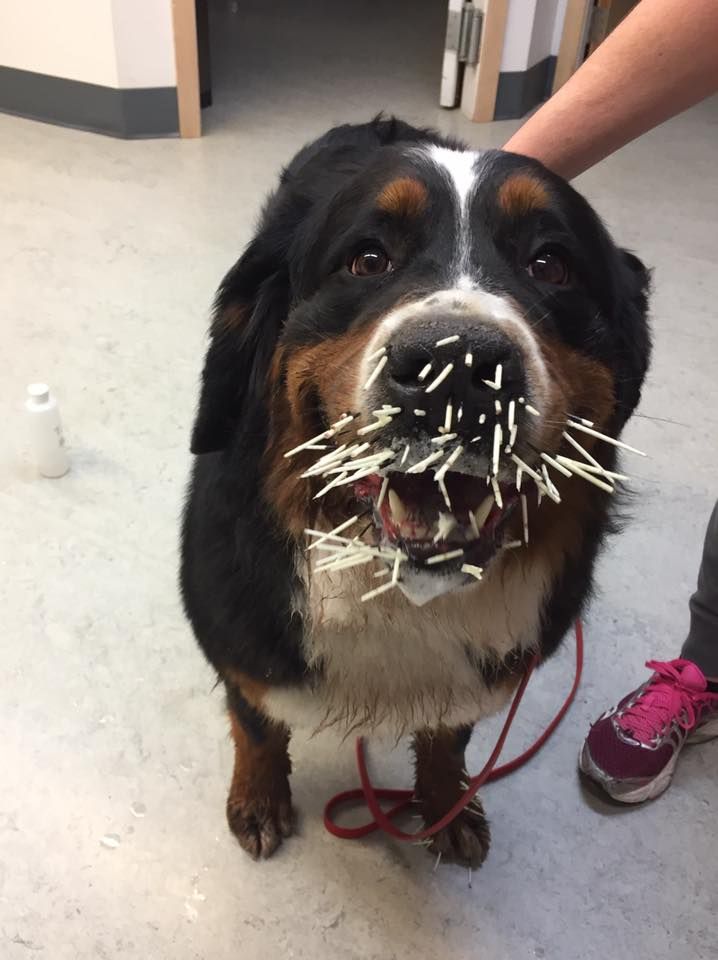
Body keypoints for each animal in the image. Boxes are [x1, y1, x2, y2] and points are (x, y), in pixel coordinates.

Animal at [180, 117, 651, 866]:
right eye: (367, 260)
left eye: (550, 265)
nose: (457, 364)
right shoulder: (241, 642)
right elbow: (257, 728)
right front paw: (258, 799)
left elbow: (447, 739)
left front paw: (443, 803)